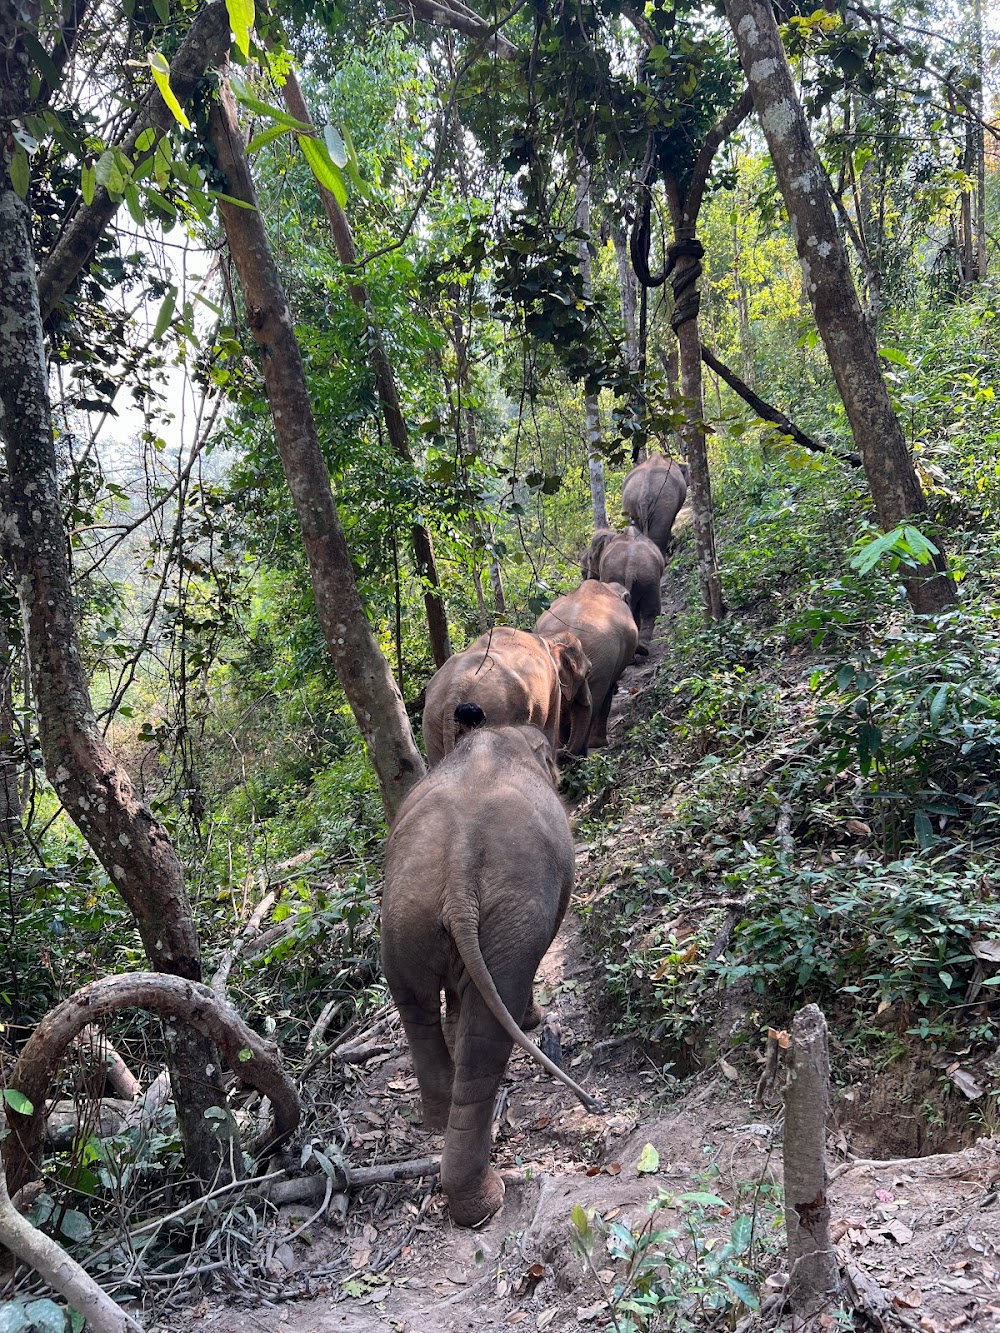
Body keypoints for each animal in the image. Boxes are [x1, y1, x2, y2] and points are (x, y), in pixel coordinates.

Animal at [384, 730, 602, 1226]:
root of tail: (458, 870)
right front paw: (534, 1021)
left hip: (403, 918)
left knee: (416, 1009)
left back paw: (438, 1116)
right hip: (510, 921)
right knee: (488, 1034)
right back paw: (486, 1201)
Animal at [424, 626, 594, 767]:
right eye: (588, 673)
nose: (567, 753)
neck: (549, 638)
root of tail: (454, 689)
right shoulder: (554, 687)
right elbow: (551, 731)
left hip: (433, 724)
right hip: (498, 712)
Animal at [594, 527, 666, 658]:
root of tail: (630, 566)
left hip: (644, 576)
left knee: (648, 610)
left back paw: (640, 650)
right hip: (648, 576)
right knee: (651, 610)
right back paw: (640, 650)